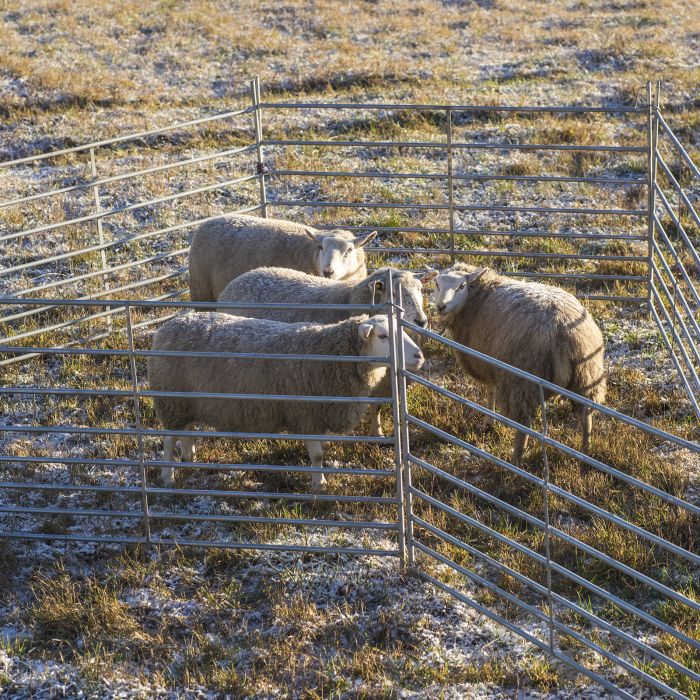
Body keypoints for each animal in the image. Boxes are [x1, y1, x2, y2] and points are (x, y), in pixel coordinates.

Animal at [146, 312, 426, 486]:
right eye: (383, 336)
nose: (419, 356)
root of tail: (166, 327)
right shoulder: (305, 414)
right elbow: (317, 456)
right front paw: (319, 484)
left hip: (186, 400)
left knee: (187, 429)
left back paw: (190, 457)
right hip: (170, 400)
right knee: (169, 440)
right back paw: (168, 476)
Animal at [187, 213, 378, 300]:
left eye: (349, 250)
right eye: (321, 247)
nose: (328, 271)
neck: (310, 254)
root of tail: (208, 222)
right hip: (202, 291)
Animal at [430, 262, 604, 464]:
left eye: (461, 286)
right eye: (436, 284)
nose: (441, 306)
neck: (478, 296)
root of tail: (562, 332)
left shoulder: (487, 361)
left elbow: (490, 391)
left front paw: (488, 423)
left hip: (522, 381)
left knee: (524, 423)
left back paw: (516, 459)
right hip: (586, 375)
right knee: (586, 415)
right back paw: (585, 452)